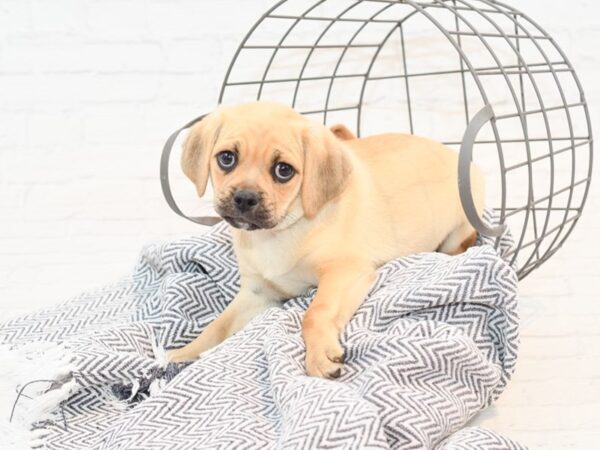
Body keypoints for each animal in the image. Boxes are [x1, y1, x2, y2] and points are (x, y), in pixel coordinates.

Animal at [166, 100, 486, 378]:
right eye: (226, 158)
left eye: (284, 171)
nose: (245, 198)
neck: (277, 234)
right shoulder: (257, 294)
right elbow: (216, 327)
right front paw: (180, 354)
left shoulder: (345, 272)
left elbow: (315, 312)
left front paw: (319, 354)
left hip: (458, 229)